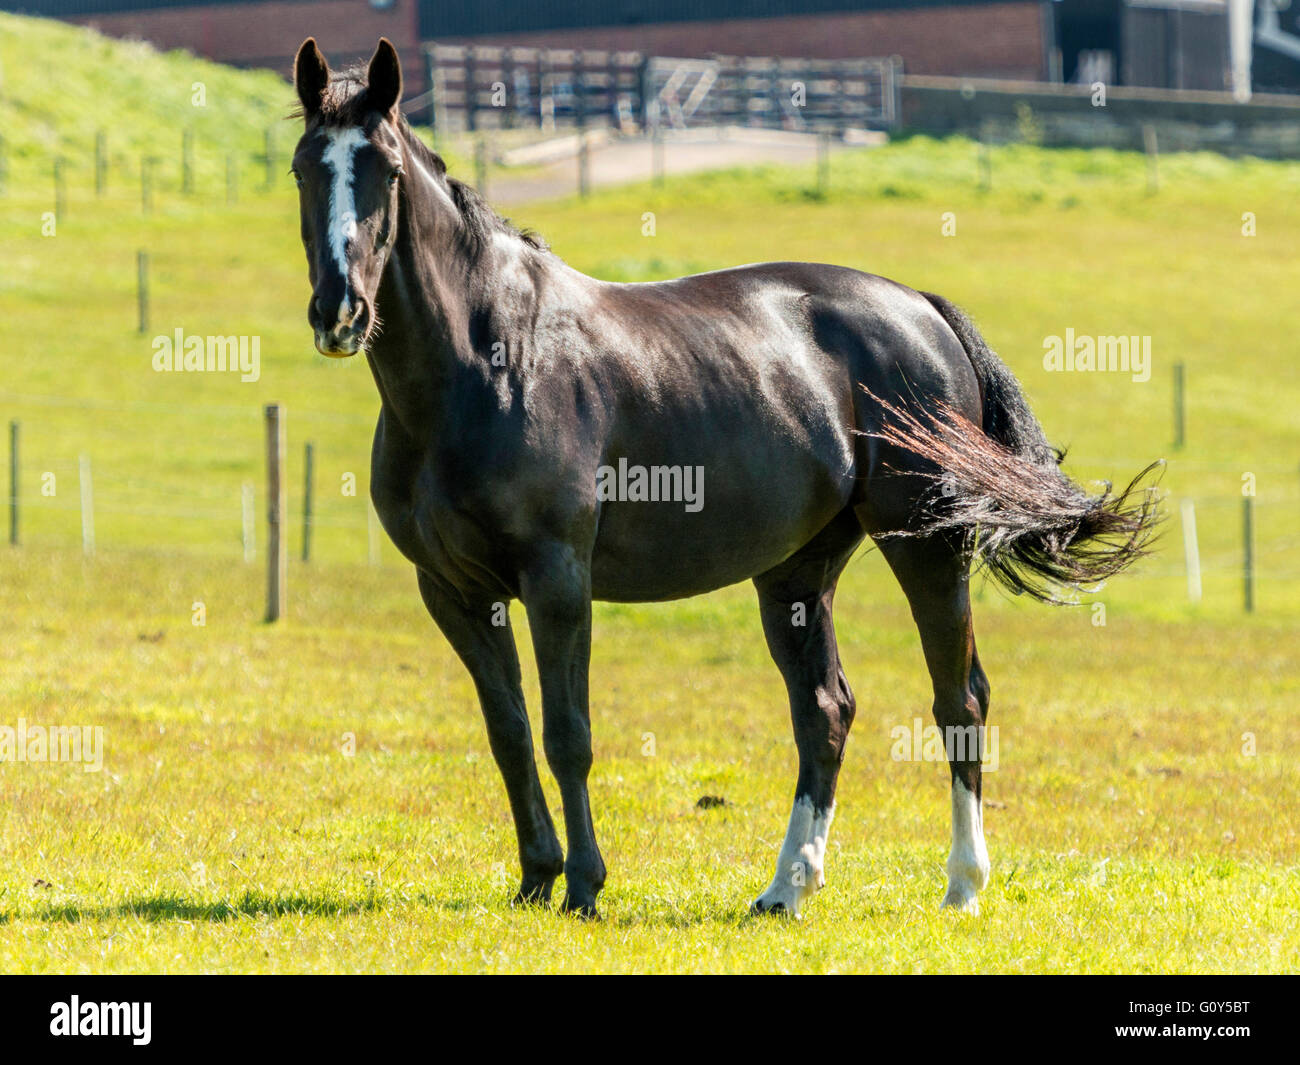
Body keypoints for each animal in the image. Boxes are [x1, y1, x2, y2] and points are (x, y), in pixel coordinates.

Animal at [292, 41, 1159, 915]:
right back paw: (787, 886)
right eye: (304, 167)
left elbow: (568, 734)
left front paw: (584, 884)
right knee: (825, 710)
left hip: (928, 548)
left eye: (385, 169)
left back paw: (961, 883)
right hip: (797, 571)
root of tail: (922, 308)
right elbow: (509, 732)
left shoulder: (557, 578)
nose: (340, 312)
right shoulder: (455, 591)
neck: (492, 358)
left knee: (961, 697)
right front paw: (537, 875)